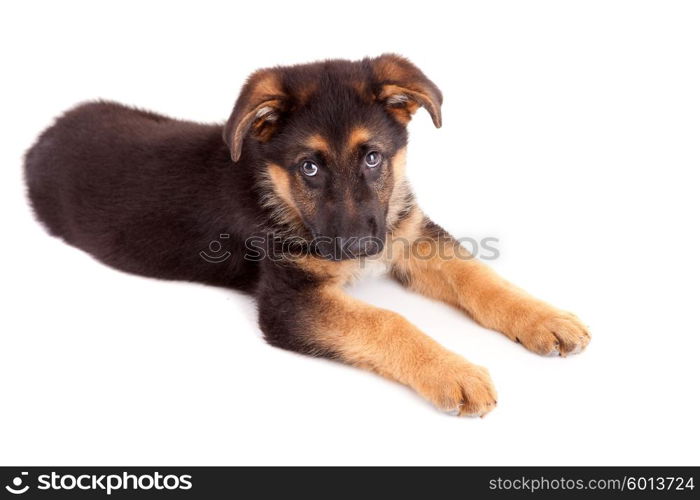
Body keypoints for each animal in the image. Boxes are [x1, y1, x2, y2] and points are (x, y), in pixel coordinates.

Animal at [24, 52, 588, 416]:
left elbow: (477, 274)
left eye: (373, 157)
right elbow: (387, 321)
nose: (359, 249)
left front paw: (544, 318)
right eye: (310, 168)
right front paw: (452, 370)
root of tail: (42, 137)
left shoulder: (407, 234)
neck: (280, 191)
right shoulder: (289, 301)